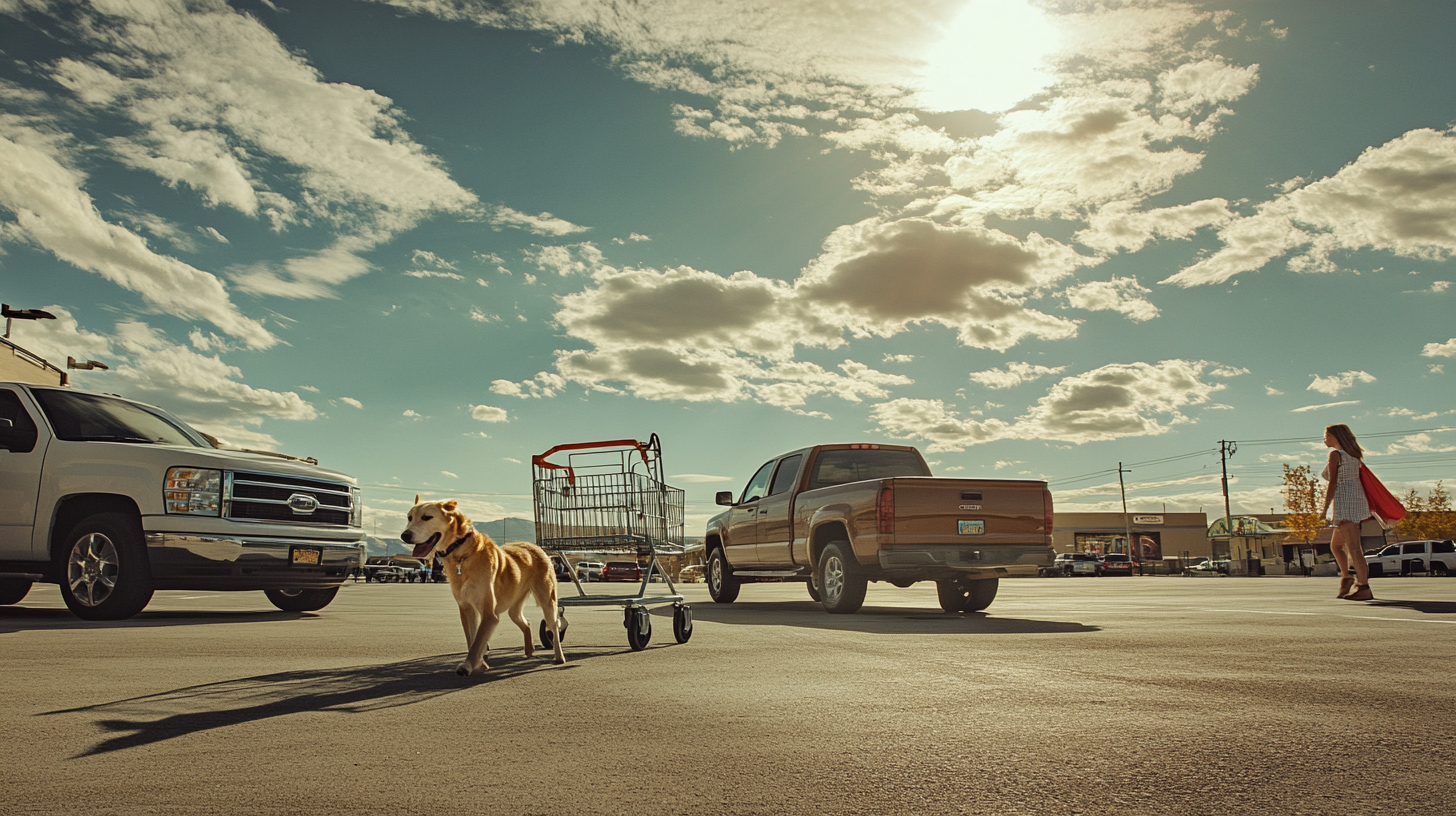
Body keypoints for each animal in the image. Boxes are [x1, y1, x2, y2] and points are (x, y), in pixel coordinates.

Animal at [401, 498, 564, 676]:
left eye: (426, 517)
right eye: (409, 518)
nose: (404, 535)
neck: (461, 552)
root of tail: (535, 546)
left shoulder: (489, 615)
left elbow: (478, 641)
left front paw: (468, 665)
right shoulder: (466, 609)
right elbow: (472, 640)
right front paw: (479, 664)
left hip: (547, 602)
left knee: (554, 627)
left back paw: (559, 657)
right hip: (514, 608)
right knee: (525, 622)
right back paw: (529, 650)